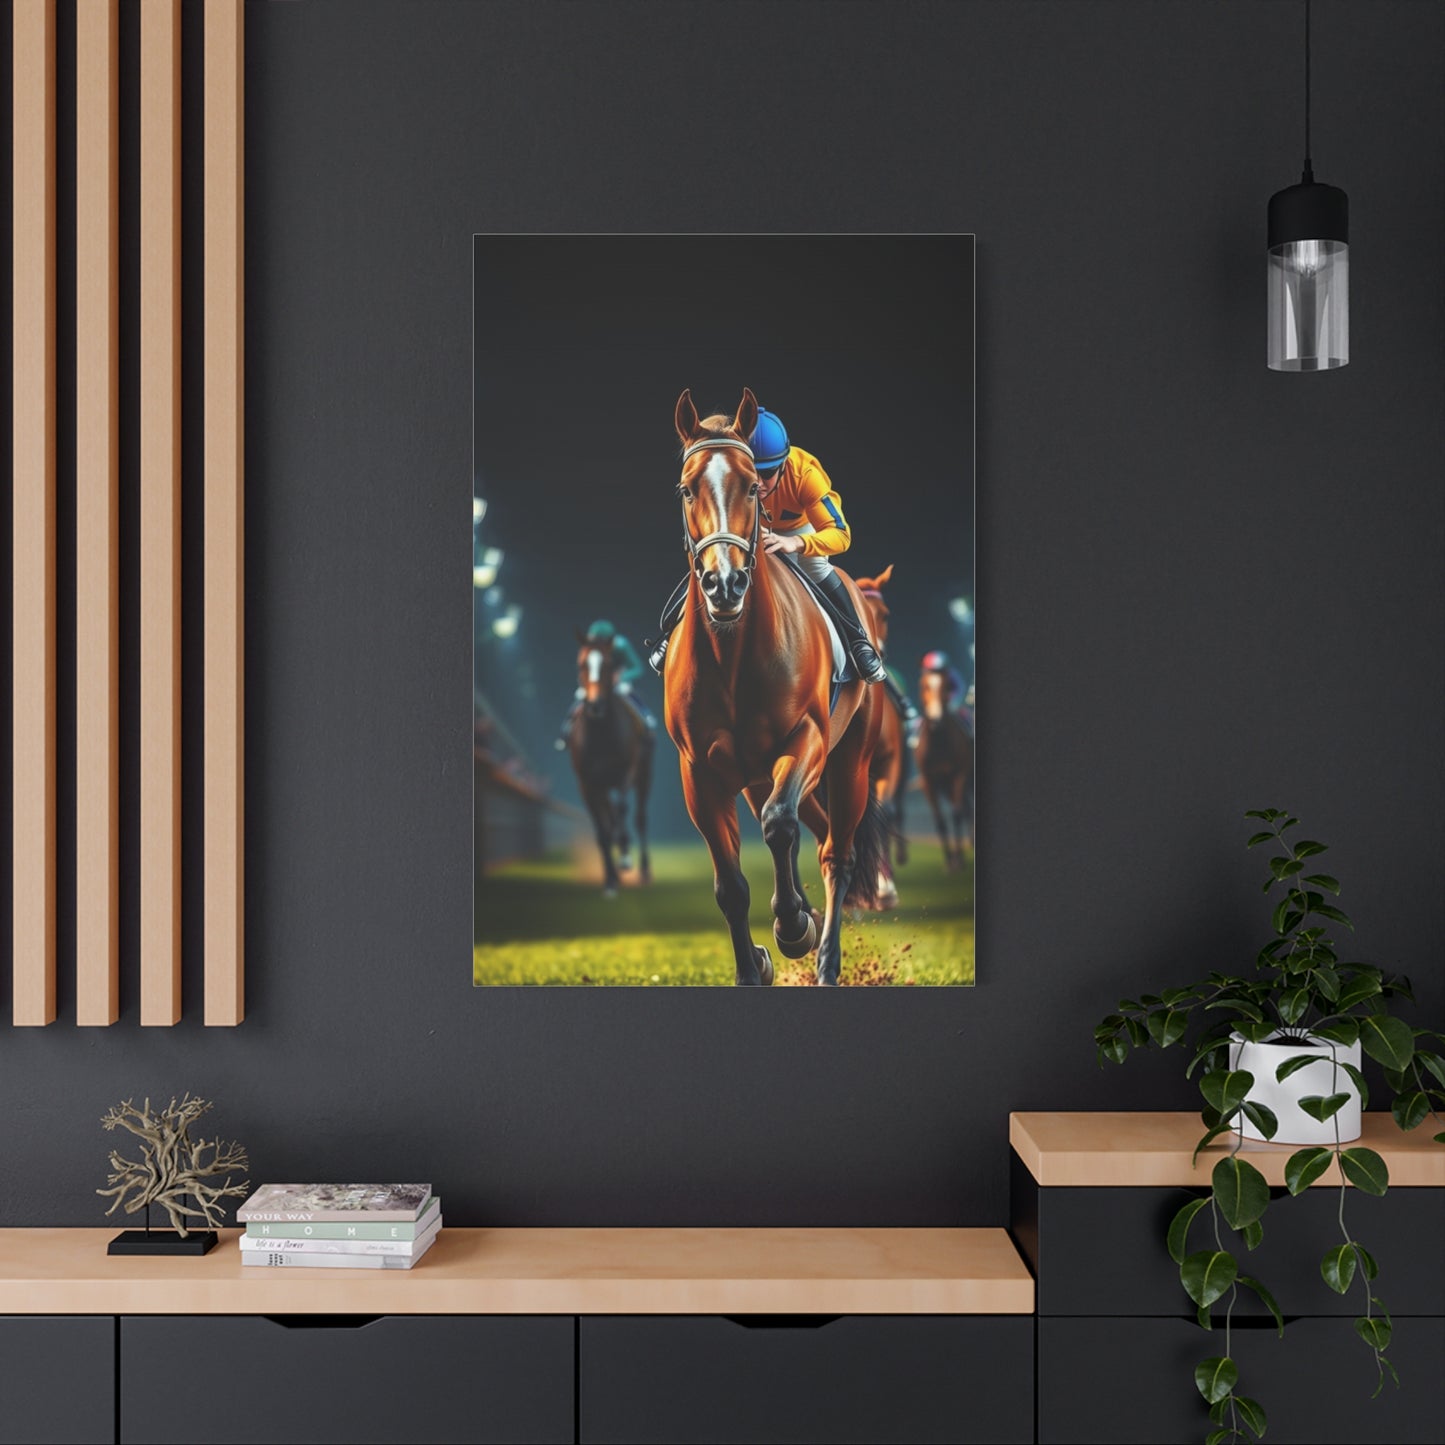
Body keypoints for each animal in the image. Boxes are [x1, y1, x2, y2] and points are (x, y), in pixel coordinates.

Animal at [566, 633, 654, 895]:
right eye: (581, 665)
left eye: (607, 664)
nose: (595, 705)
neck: (600, 735)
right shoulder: (586, 783)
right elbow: (601, 828)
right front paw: (610, 878)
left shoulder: (626, 772)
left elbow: (623, 809)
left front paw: (624, 855)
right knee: (610, 816)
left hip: (645, 774)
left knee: (639, 817)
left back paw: (643, 869)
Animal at [662, 387, 890, 986]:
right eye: (687, 488)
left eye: (750, 486)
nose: (724, 583)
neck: (732, 656)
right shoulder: (699, 772)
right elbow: (730, 886)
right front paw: (753, 966)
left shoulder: (806, 738)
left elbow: (780, 826)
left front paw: (792, 926)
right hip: (757, 776)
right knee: (812, 831)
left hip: (848, 761)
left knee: (835, 851)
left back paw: (825, 959)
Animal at [915, 664, 974, 872]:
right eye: (924, 686)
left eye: (947, 686)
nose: (936, 720)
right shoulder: (928, 781)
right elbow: (940, 821)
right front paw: (949, 859)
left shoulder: (959, 775)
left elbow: (956, 815)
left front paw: (958, 859)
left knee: (965, 809)